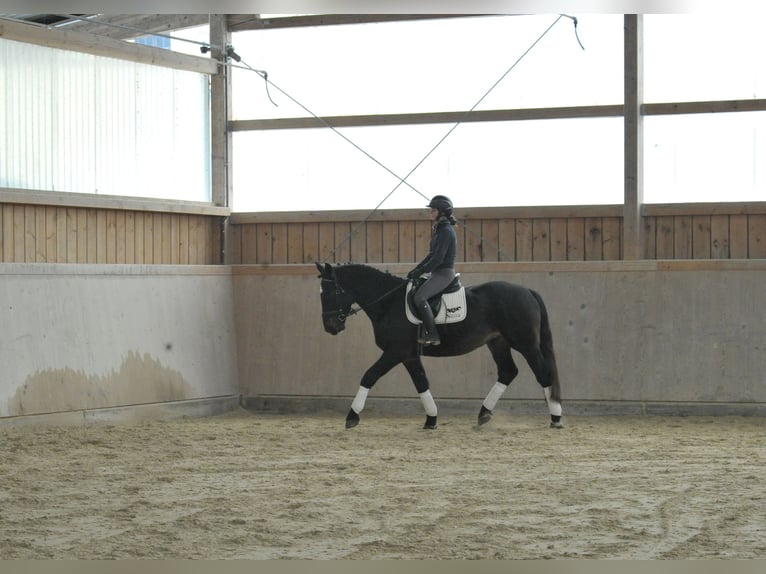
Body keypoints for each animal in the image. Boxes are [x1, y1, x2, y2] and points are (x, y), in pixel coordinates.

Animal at [316, 262, 563, 430]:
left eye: (329, 292)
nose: (330, 327)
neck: (388, 303)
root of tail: (527, 291)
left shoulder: (395, 351)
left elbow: (369, 375)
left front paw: (352, 416)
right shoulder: (409, 355)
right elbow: (421, 383)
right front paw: (431, 419)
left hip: (526, 344)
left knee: (543, 374)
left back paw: (556, 417)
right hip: (497, 343)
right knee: (508, 371)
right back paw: (483, 414)